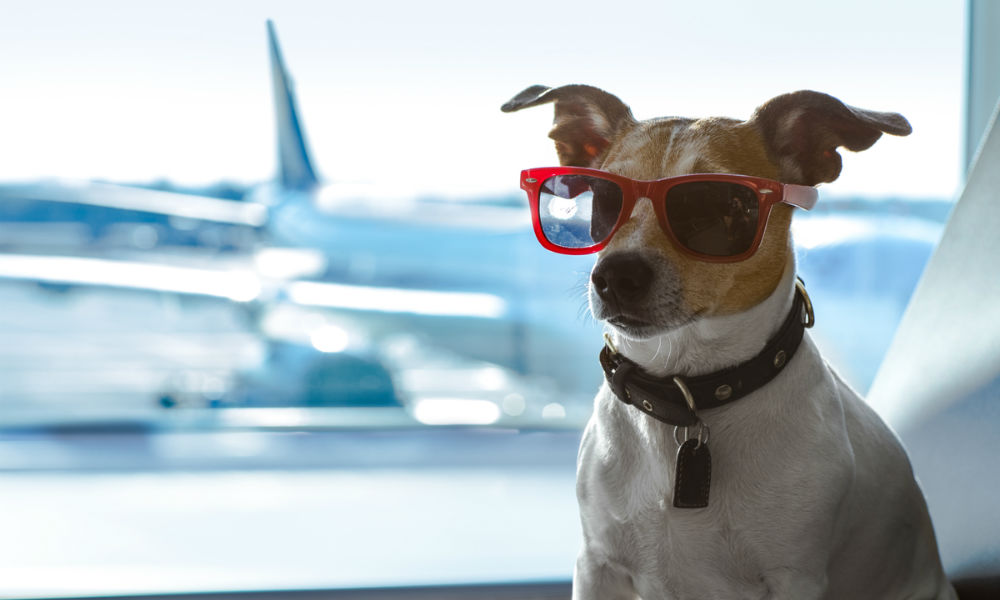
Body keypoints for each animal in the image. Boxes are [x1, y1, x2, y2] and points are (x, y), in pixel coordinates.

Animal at [504, 85, 956, 600]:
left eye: (718, 205)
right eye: (602, 197)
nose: (615, 276)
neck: (687, 394)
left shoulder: (795, 577)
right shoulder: (597, 565)